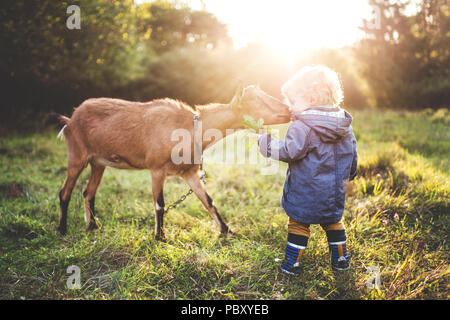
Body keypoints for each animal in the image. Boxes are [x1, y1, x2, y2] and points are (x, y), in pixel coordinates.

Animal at [53, 85, 292, 240]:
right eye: (257, 100)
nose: (288, 110)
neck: (190, 128)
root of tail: (70, 119)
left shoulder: (189, 172)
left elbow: (208, 201)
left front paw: (226, 231)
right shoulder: (157, 169)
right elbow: (160, 204)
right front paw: (160, 237)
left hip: (98, 162)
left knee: (88, 193)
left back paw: (93, 226)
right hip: (77, 155)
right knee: (65, 191)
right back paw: (62, 229)